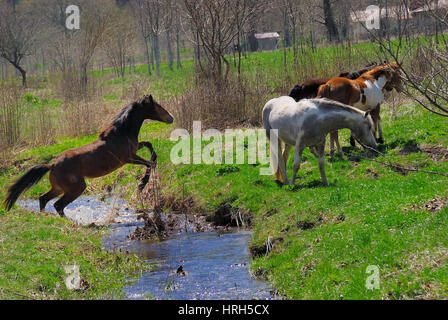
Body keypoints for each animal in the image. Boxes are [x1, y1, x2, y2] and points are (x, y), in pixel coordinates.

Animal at [3, 94, 175, 216]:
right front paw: (141, 185)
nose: (171, 117)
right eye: (158, 106)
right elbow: (149, 164)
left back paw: (45, 216)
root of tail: (52, 164)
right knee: (58, 205)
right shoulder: (128, 158)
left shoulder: (135, 149)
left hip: (58, 188)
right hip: (76, 188)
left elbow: (148, 145)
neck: (122, 132)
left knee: (43, 198)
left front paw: (152, 161)